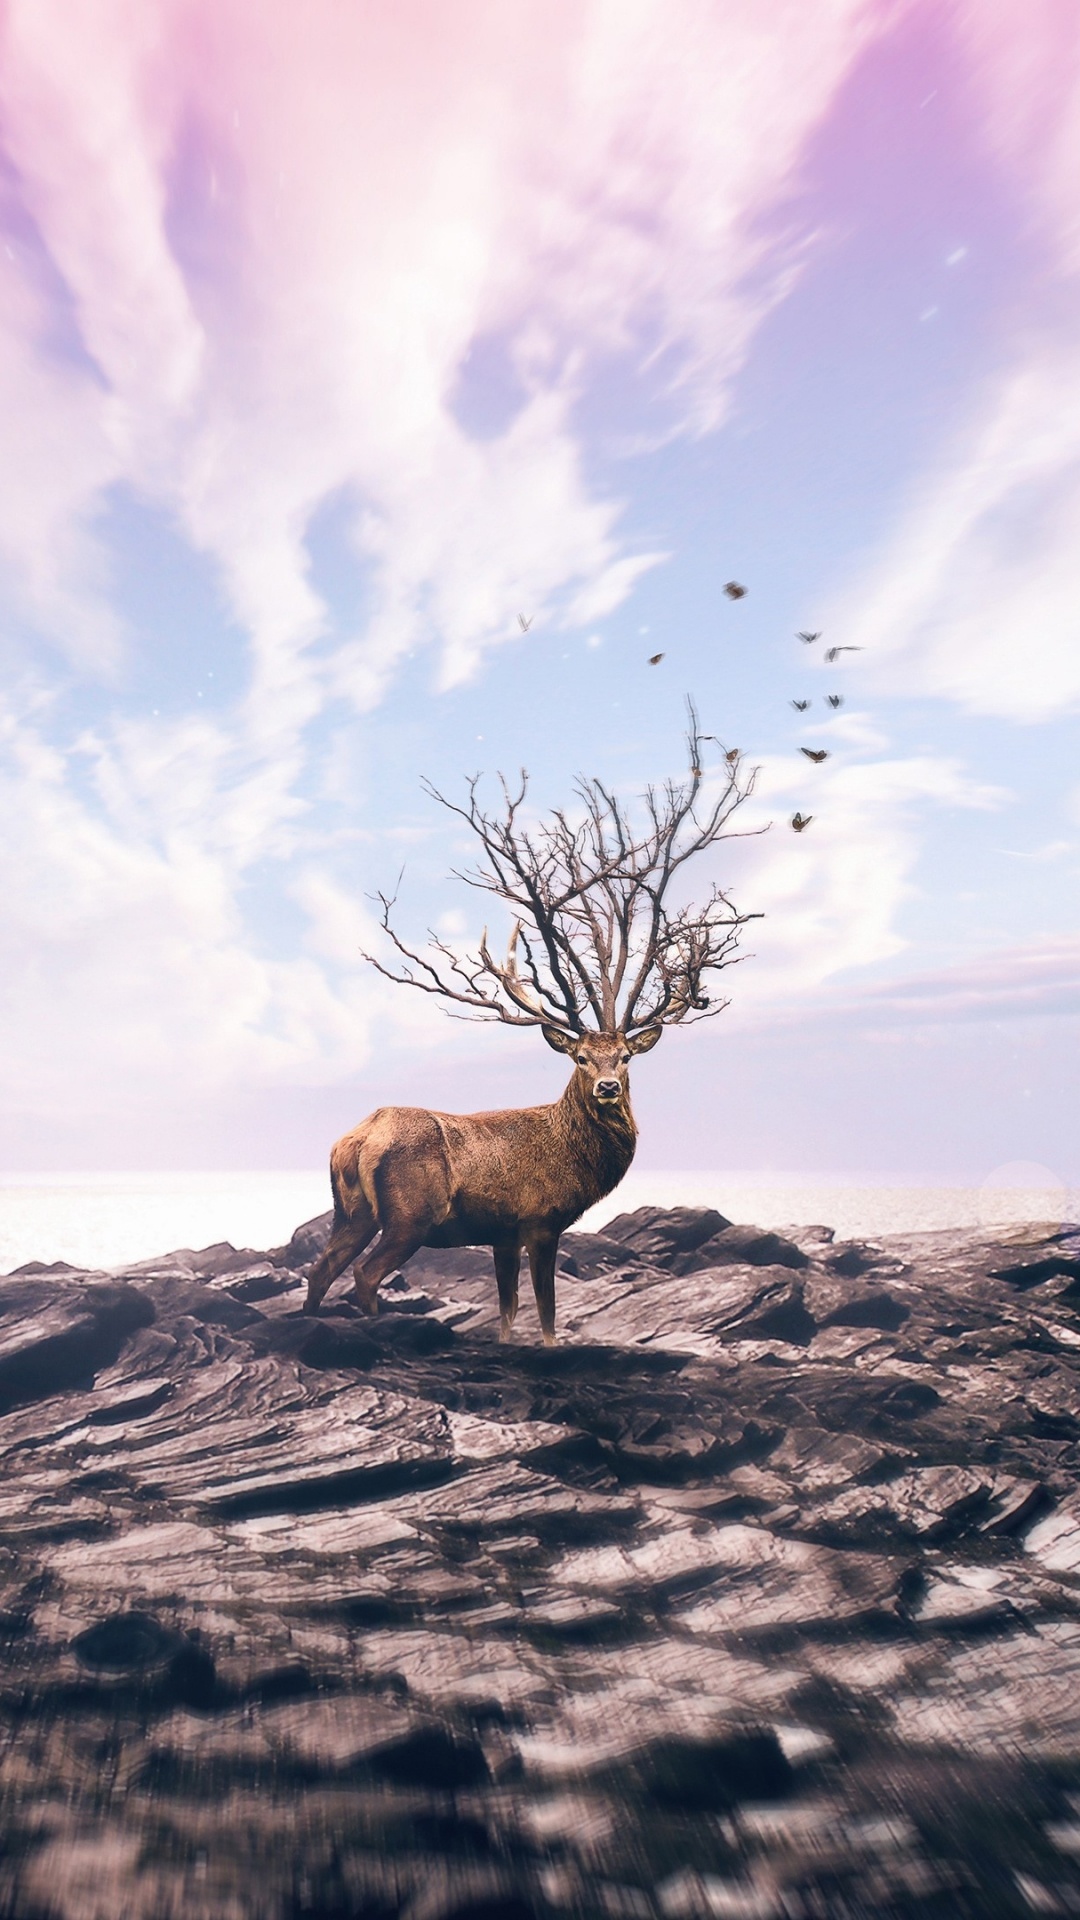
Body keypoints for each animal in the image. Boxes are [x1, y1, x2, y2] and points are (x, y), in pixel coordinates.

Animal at [304, 705, 762, 1344]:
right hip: (409, 1214)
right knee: (364, 1277)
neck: (574, 1161)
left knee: (318, 1272)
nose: (608, 1087)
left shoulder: (501, 1232)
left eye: (625, 1055)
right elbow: (544, 1314)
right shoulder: (540, 1219)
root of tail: (357, 1139)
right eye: (580, 1057)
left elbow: (507, 1310)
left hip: (350, 1210)